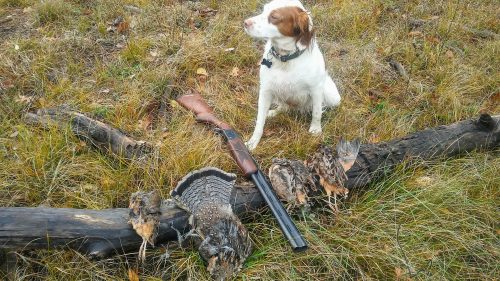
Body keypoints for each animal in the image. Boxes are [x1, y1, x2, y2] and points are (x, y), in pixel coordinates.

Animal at [244, 0, 342, 151]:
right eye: (263, 10)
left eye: (274, 17)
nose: (245, 22)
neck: (286, 58)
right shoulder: (265, 90)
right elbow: (259, 121)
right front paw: (253, 141)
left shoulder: (316, 89)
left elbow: (317, 112)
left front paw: (315, 130)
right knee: (285, 107)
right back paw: (272, 112)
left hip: (333, 96)